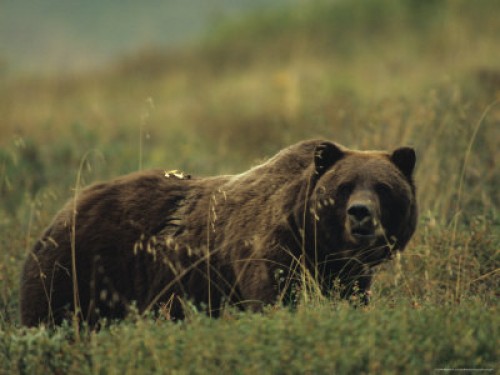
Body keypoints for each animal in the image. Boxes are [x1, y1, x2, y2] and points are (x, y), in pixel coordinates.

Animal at [19, 140, 416, 328]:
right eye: (345, 186)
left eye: (382, 187)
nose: (360, 213)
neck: (312, 237)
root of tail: (59, 215)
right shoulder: (270, 248)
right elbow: (274, 297)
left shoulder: (344, 272)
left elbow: (350, 297)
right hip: (78, 270)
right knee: (51, 317)